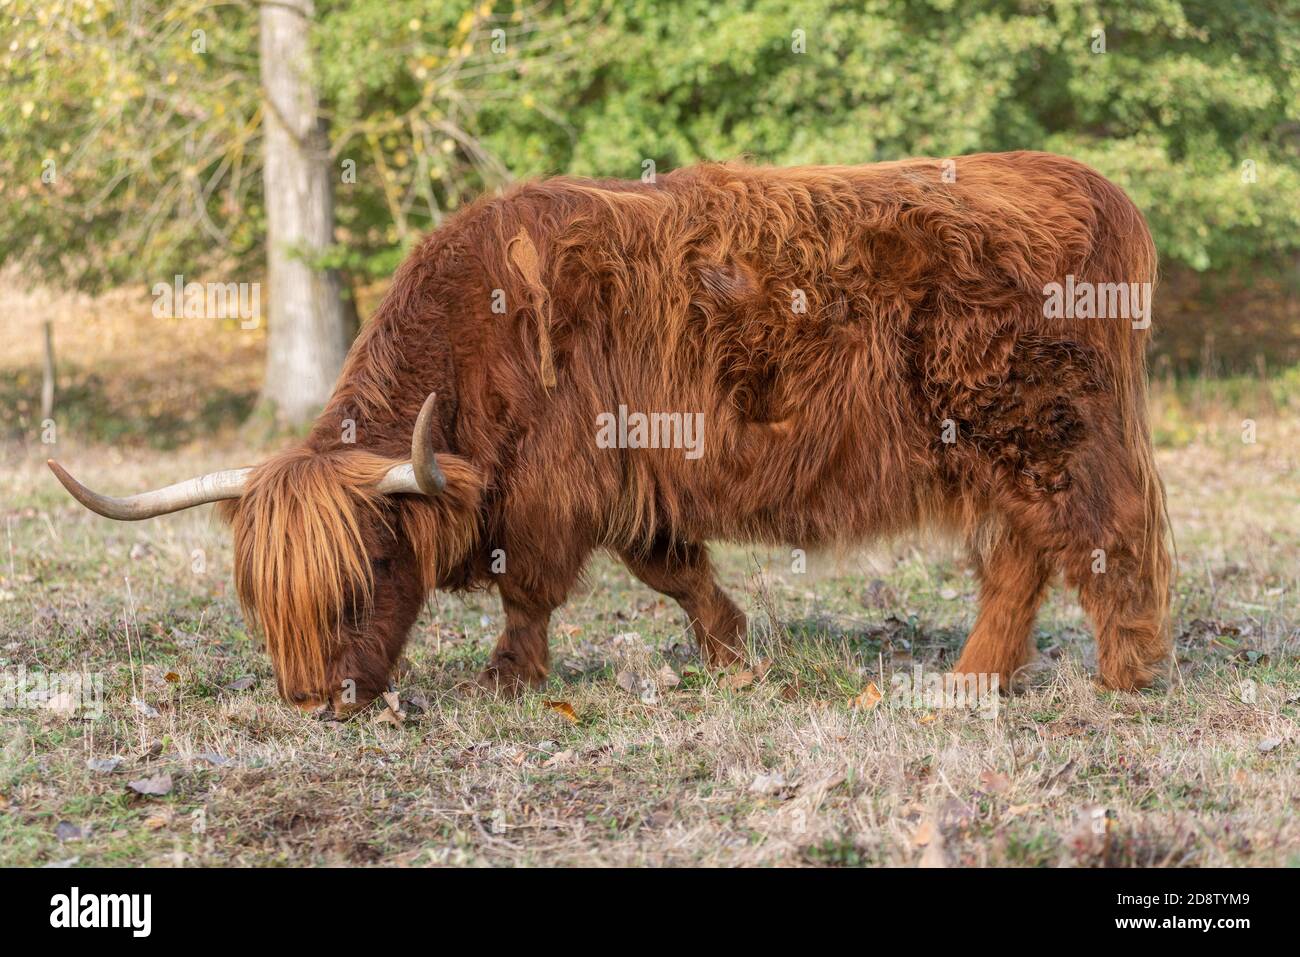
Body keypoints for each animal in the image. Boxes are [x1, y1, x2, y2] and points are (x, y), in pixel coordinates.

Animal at [49, 152, 1172, 716]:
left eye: (364, 581)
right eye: (260, 604)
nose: (315, 701)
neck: (477, 333)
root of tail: (1086, 180)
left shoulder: (556, 483)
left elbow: (532, 590)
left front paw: (508, 679)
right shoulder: (636, 479)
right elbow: (674, 570)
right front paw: (734, 653)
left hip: (1047, 427)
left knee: (1101, 534)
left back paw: (1120, 673)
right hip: (1011, 444)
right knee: (1024, 552)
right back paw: (973, 677)